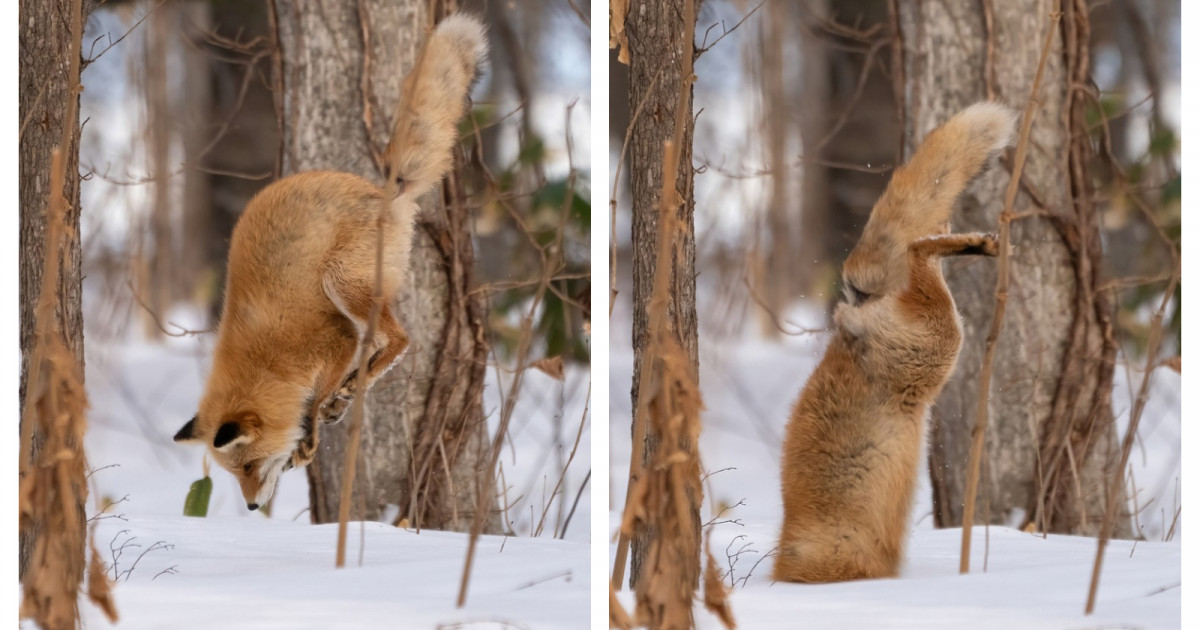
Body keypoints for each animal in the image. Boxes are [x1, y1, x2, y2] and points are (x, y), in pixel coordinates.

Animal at [172, 12, 487, 508]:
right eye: (234, 474)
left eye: (248, 465)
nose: (252, 505)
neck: (266, 361)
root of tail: (382, 190)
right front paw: (311, 432)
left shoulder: (334, 340)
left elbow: (315, 401)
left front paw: (311, 433)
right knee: (382, 344)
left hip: (340, 282)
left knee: (399, 340)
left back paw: (353, 386)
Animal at [772, 102, 1017, 580]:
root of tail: (850, 320)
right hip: (938, 349)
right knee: (921, 246)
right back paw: (975, 243)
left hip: (941, 339)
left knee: (918, 249)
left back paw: (974, 244)